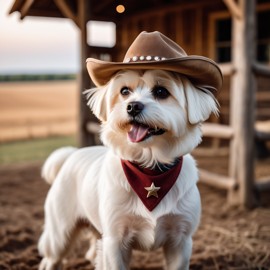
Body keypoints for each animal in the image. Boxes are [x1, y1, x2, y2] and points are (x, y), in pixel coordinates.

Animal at [38, 30, 221, 268]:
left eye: (161, 91)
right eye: (125, 91)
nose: (133, 106)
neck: (150, 167)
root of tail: (71, 155)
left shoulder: (181, 241)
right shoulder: (116, 240)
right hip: (61, 232)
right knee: (52, 258)